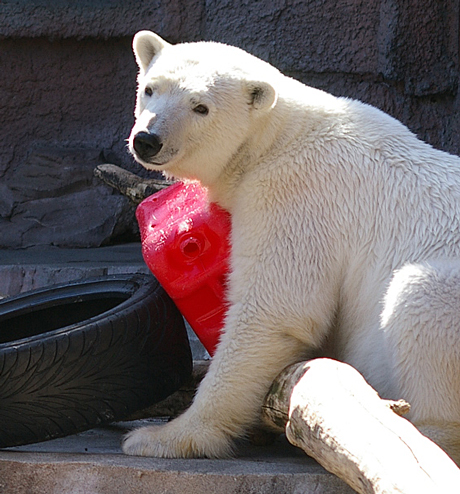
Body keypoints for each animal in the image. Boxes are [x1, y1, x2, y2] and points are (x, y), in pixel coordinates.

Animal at [123, 31, 460, 464]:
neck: (276, 136)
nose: (147, 140)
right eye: (151, 89)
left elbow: (274, 311)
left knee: (420, 294)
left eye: (201, 107)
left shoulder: (293, 195)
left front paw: (163, 437)